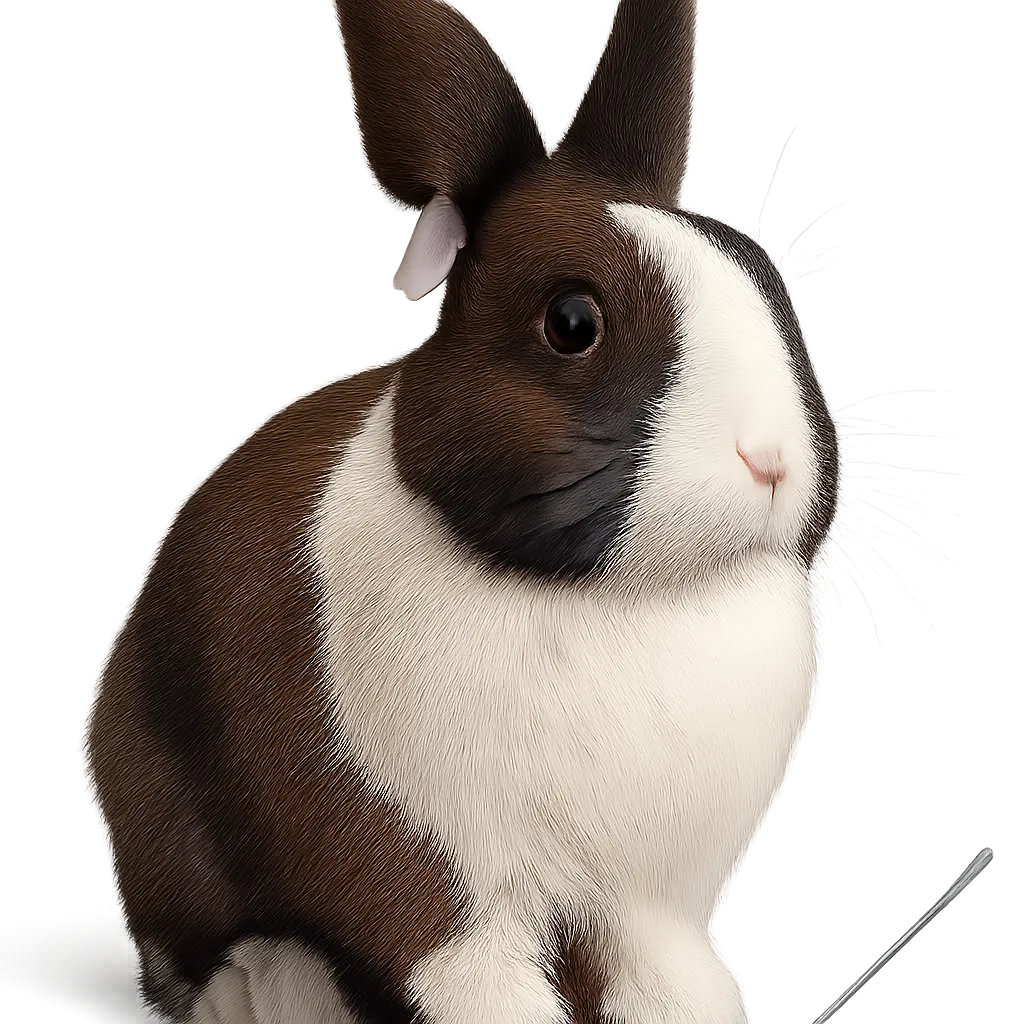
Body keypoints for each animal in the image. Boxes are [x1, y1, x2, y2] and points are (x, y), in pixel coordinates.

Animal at [82, 0, 841, 1022]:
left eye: (763, 277)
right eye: (572, 322)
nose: (771, 460)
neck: (613, 598)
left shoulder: (644, 899)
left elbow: (655, 963)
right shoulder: (420, 871)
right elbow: (470, 973)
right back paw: (263, 990)